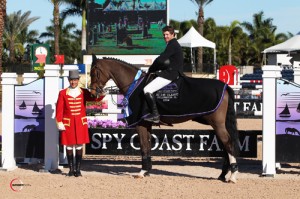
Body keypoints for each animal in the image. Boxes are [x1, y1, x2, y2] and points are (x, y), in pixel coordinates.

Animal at [89, 55, 239, 183]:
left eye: (94, 72)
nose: (93, 92)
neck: (134, 85)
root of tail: (225, 87)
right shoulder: (147, 124)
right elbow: (147, 146)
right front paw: (147, 170)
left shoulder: (140, 124)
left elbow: (143, 146)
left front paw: (142, 172)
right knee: (225, 146)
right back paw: (222, 175)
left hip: (217, 124)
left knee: (228, 143)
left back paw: (232, 175)